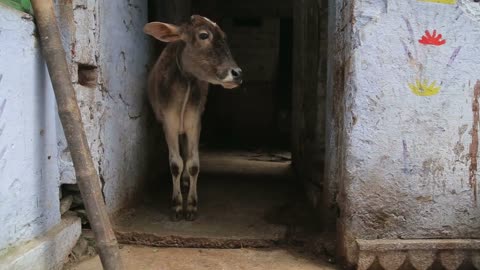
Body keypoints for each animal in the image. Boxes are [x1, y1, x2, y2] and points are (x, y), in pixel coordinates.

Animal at [142, 15, 240, 221]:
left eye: (224, 36)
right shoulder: (169, 124)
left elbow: (193, 163)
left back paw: (186, 182)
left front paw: (192, 205)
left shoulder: (195, 123)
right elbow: (175, 164)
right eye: (203, 35)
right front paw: (177, 206)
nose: (237, 74)